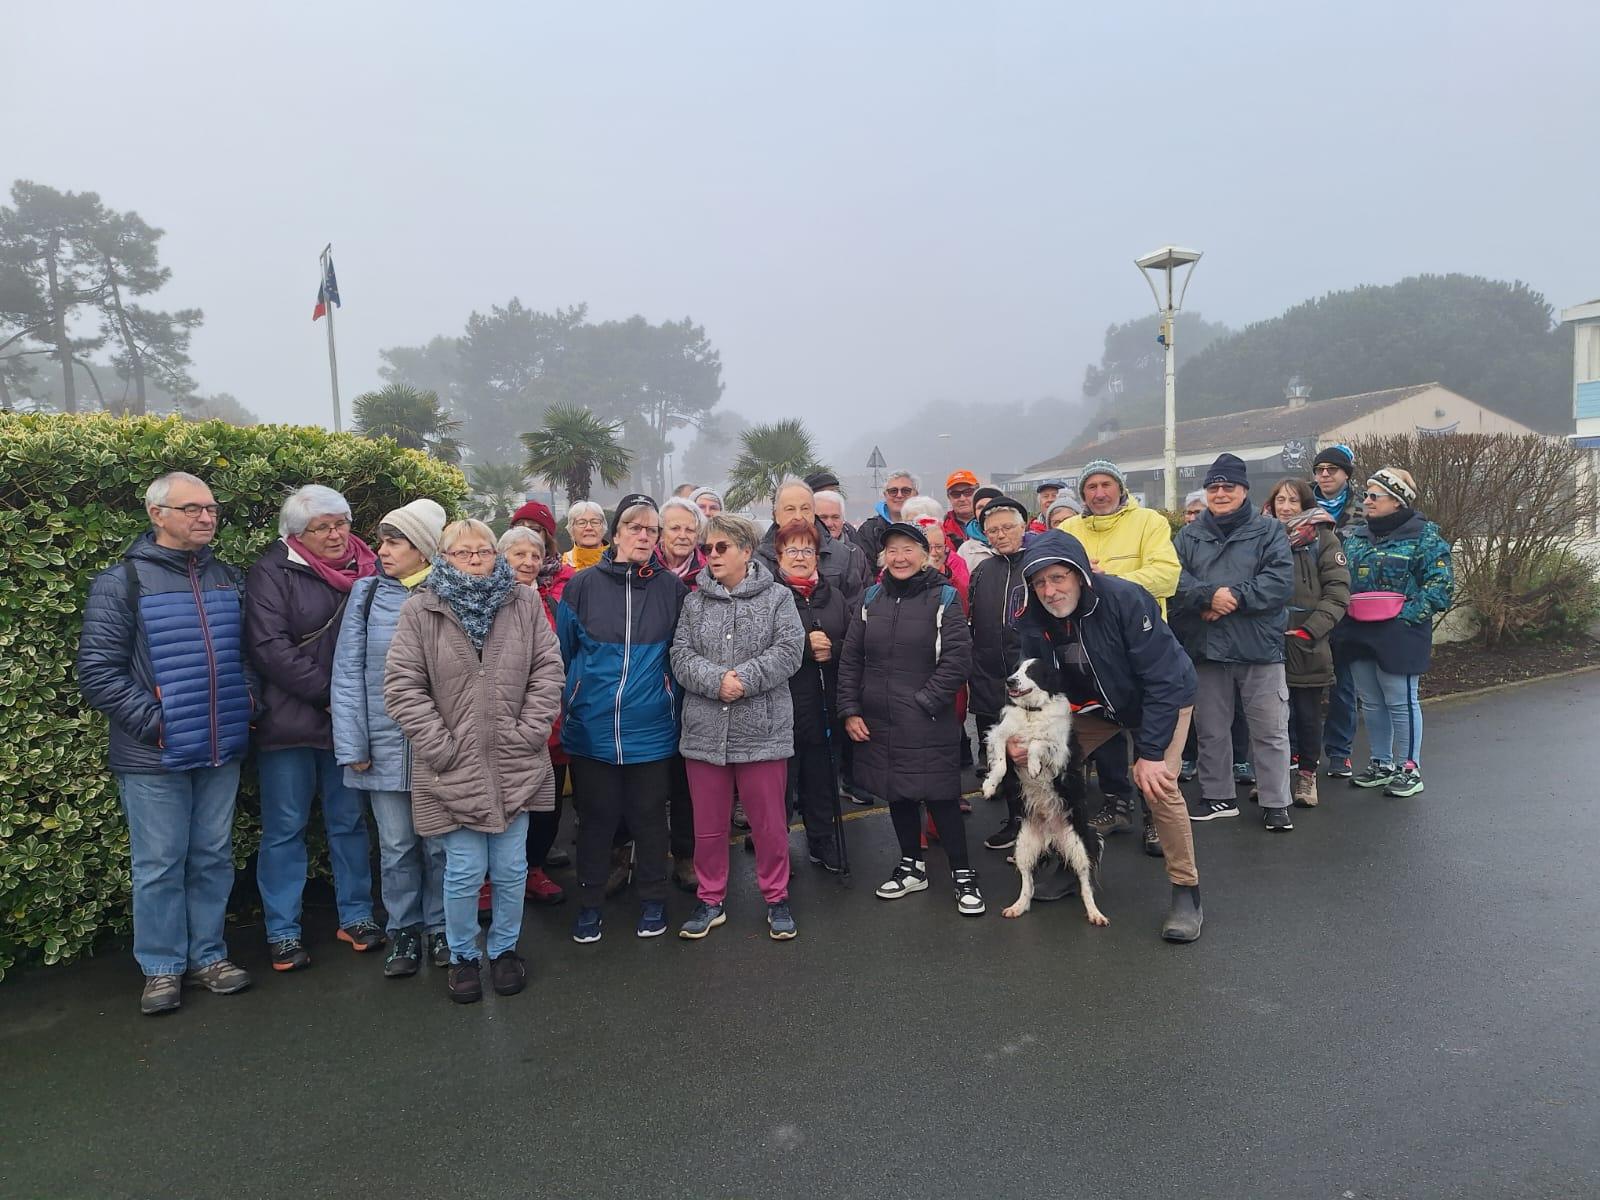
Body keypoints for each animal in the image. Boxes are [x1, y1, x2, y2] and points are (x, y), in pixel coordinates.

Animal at [972, 659, 1113, 928]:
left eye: (1031, 671)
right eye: (1016, 669)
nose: (1010, 681)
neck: (1032, 711)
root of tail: (1051, 835)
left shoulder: (1060, 751)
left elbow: (1038, 742)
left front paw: (1034, 766)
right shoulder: (1001, 734)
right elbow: (1001, 762)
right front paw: (990, 785)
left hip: (1080, 846)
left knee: (1085, 885)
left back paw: (1095, 914)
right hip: (1024, 847)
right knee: (1027, 886)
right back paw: (1017, 907)